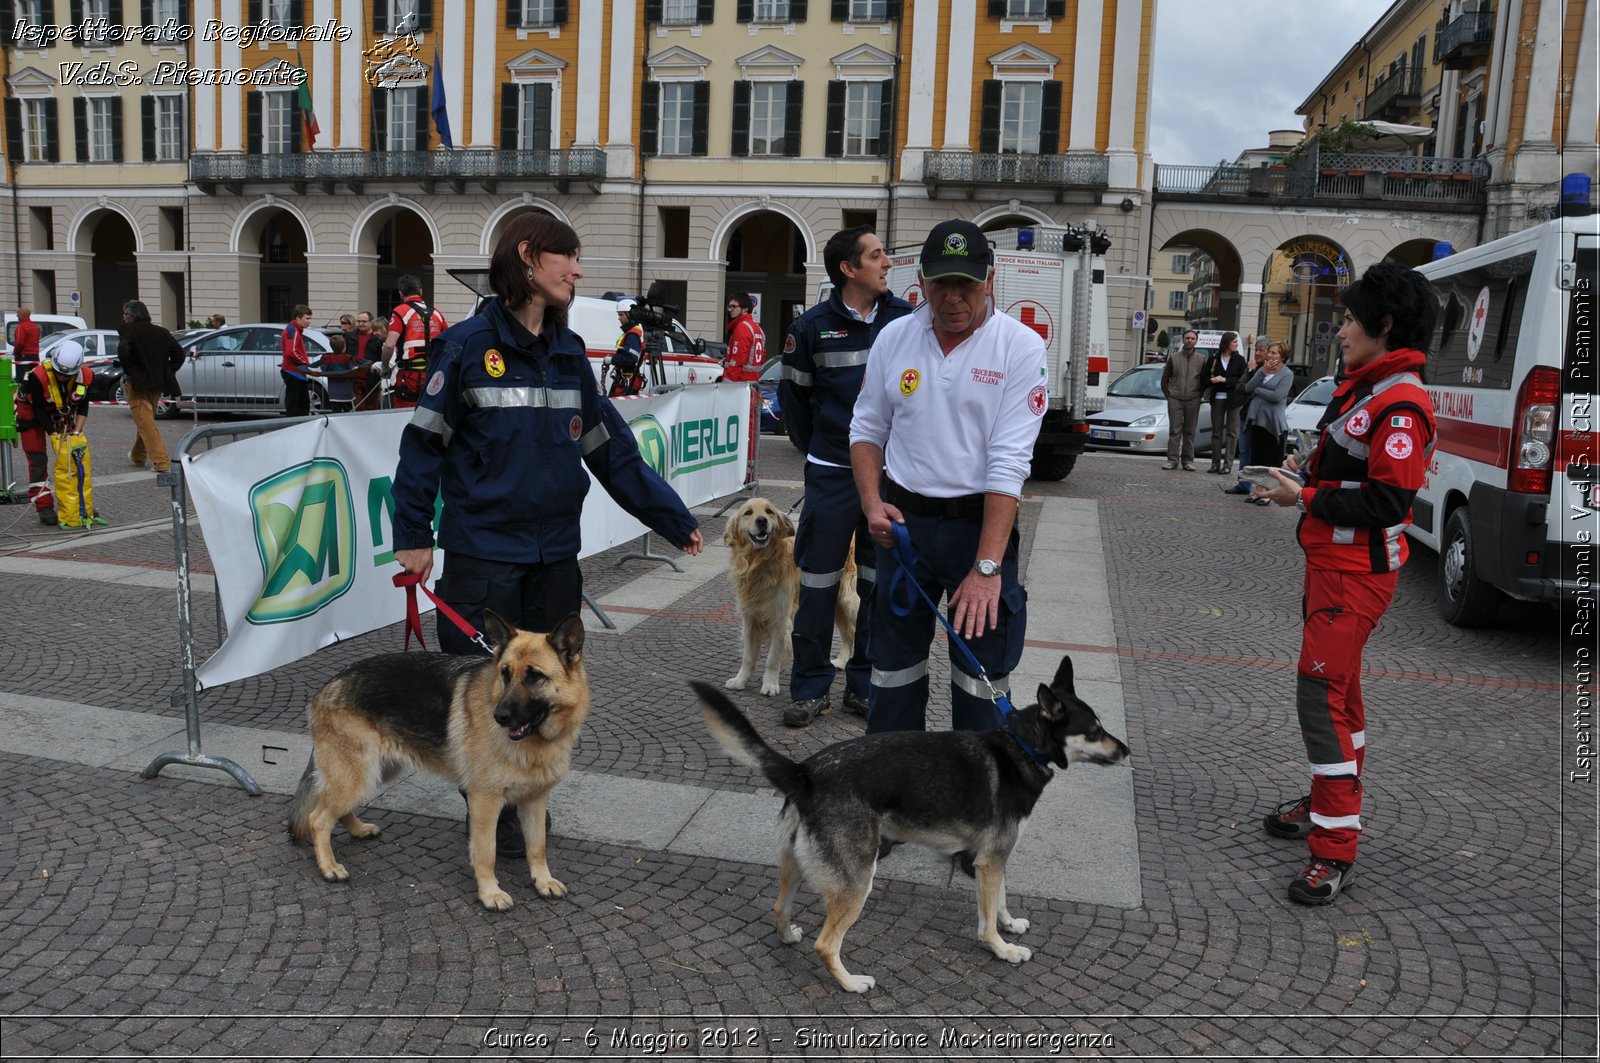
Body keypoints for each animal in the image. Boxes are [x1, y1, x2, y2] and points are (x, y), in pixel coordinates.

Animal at [288, 611, 588, 909]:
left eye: (535, 676)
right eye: (505, 674)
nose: (499, 716)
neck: (537, 740)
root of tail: (327, 686)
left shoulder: (535, 800)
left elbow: (537, 847)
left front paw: (543, 881)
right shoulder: (484, 802)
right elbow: (486, 853)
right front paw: (490, 893)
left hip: (374, 772)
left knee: (336, 809)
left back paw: (359, 830)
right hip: (358, 774)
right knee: (318, 818)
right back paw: (329, 867)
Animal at [694, 656, 1132, 998]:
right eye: (1094, 730)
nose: (1127, 750)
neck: (1021, 748)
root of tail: (806, 773)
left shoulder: (993, 859)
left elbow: (999, 902)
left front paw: (1009, 925)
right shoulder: (991, 860)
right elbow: (986, 921)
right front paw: (1002, 949)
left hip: (798, 867)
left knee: (779, 908)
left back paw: (788, 937)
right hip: (857, 883)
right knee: (825, 944)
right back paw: (851, 983)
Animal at [720, 499, 857, 697]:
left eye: (769, 512)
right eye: (748, 513)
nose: (762, 521)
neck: (760, 562)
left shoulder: (780, 618)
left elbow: (772, 658)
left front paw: (770, 684)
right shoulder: (750, 617)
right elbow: (748, 656)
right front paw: (740, 680)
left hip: (852, 601)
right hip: (837, 603)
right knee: (849, 632)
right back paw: (841, 661)